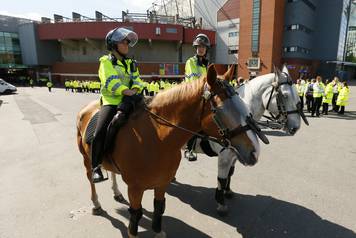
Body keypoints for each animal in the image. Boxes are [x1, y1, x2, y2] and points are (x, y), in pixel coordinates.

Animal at [76, 65, 262, 238]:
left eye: (243, 104)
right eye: (221, 109)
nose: (254, 152)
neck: (157, 137)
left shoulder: (162, 183)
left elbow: (159, 208)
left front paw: (158, 231)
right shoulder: (135, 189)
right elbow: (135, 215)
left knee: (113, 172)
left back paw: (117, 193)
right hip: (86, 158)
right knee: (90, 178)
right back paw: (96, 203)